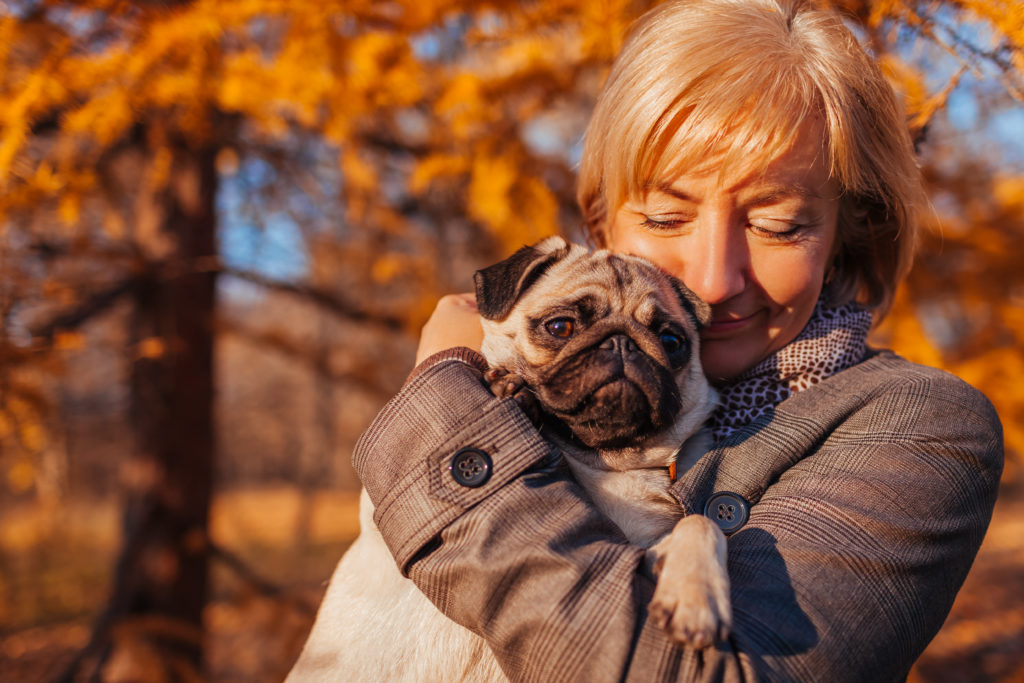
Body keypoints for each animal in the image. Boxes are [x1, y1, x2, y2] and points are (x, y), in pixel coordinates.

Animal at [288, 239, 733, 683]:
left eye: (671, 341)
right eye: (561, 327)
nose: (623, 343)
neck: (598, 460)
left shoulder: (636, 553)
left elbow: (701, 524)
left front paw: (697, 596)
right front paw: (513, 392)